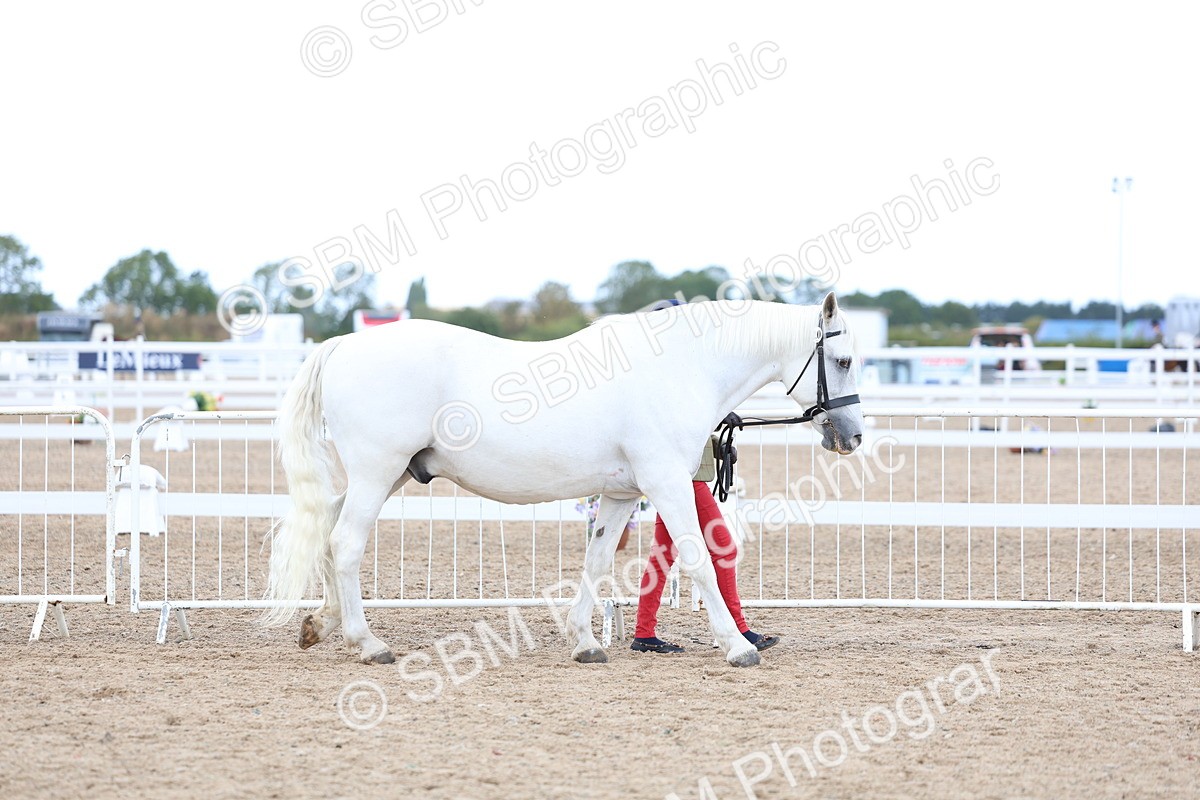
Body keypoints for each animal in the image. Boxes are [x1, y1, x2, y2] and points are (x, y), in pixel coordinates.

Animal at [264, 293, 864, 667]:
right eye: (844, 360)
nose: (853, 435)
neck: (681, 367)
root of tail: (343, 344)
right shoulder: (668, 484)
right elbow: (698, 560)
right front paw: (739, 647)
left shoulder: (621, 494)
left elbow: (596, 563)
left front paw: (585, 642)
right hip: (378, 471)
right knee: (346, 542)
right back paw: (369, 644)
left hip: (390, 474)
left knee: (328, 531)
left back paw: (320, 624)